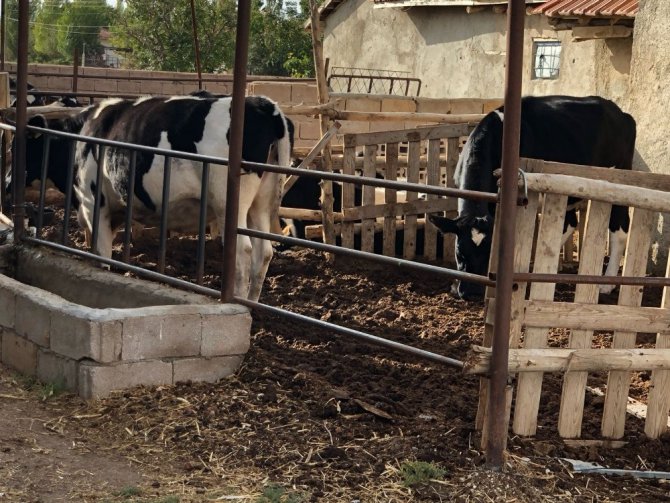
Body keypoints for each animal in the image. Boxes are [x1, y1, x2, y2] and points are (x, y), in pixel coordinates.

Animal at [73, 94, 294, 300]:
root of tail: (262, 103)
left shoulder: (93, 202)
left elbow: (102, 253)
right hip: (261, 203)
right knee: (263, 253)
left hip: (228, 203)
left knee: (242, 251)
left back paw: (237, 300)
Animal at [430, 96, 640, 302]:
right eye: (459, 252)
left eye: (489, 253)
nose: (471, 293)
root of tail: (621, 113)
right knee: (570, 223)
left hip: (618, 185)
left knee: (620, 229)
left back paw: (606, 284)